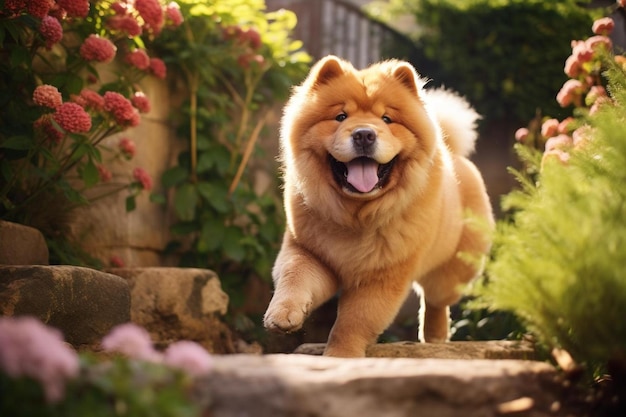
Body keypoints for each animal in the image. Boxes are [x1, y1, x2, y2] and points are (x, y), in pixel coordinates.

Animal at [262, 53, 492, 356]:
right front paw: (282, 315)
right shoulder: (310, 251)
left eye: (387, 119)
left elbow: (354, 320)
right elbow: (294, 276)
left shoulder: (383, 277)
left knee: (436, 300)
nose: (364, 134)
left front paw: (340, 354)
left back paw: (435, 336)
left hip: (452, 270)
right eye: (340, 117)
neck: (356, 213)